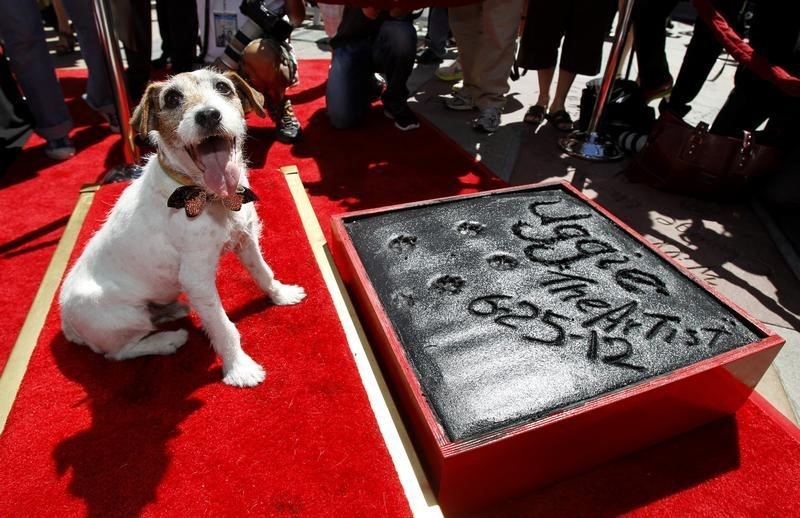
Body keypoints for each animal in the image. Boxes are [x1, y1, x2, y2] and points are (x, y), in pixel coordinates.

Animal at [60, 68, 306, 386]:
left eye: (224, 88)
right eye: (172, 98)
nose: (209, 115)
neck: (206, 195)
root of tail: (66, 322)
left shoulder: (246, 239)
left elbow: (263, 273)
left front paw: (281, 295)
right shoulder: (197, 279)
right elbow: (224, 327)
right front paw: (239, 368)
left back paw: (169, 311)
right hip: (125, 319)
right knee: (119, 352)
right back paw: (168, 340)